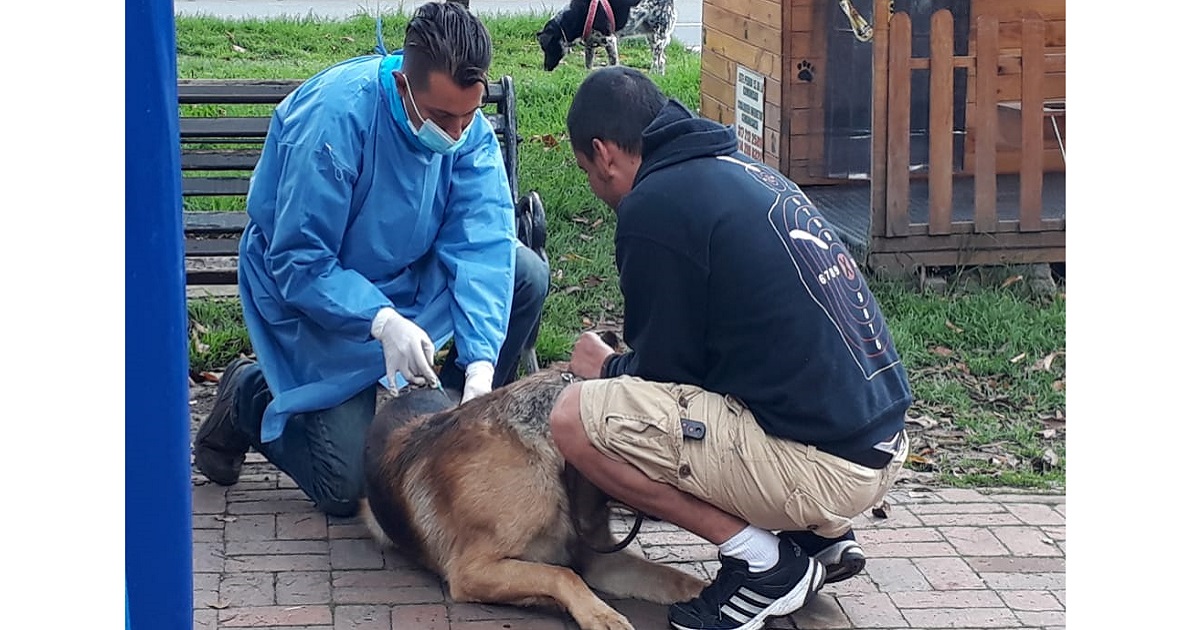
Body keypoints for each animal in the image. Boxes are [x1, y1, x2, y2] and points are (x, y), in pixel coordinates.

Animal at [360, 364, 705, 624]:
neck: (552, 458)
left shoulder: (598, 559)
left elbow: (667, 575)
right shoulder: (471, 571)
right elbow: (563, 575)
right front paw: (599, 615)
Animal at [540, 0, 681, 75]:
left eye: (548, 48)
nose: (545, 69)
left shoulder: (610, 40)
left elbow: (613, 62)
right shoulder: (590, 45)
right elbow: (588, 65)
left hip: (658, 37)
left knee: (657, 61)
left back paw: (653, 75)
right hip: (652, 38)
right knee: (662, 60)